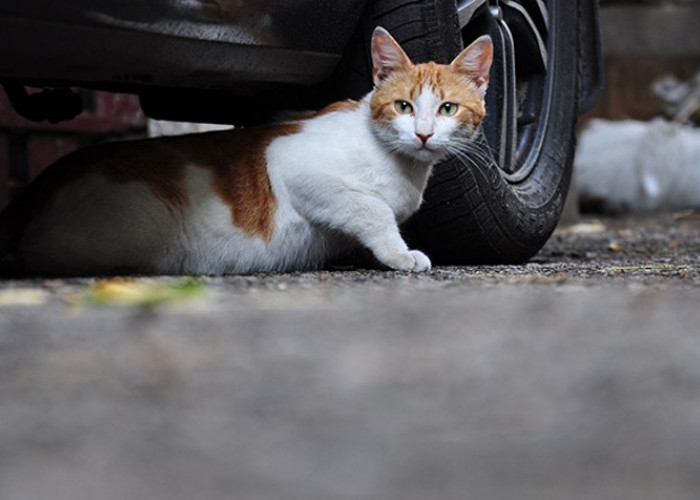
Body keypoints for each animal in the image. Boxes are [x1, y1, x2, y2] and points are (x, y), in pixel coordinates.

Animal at [0, 26, 492, 278]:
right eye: (403, 106)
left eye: (447, 108)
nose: (424, 134)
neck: (402, 165)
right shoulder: (292, 162)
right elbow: (372, 209)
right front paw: (400, 254)